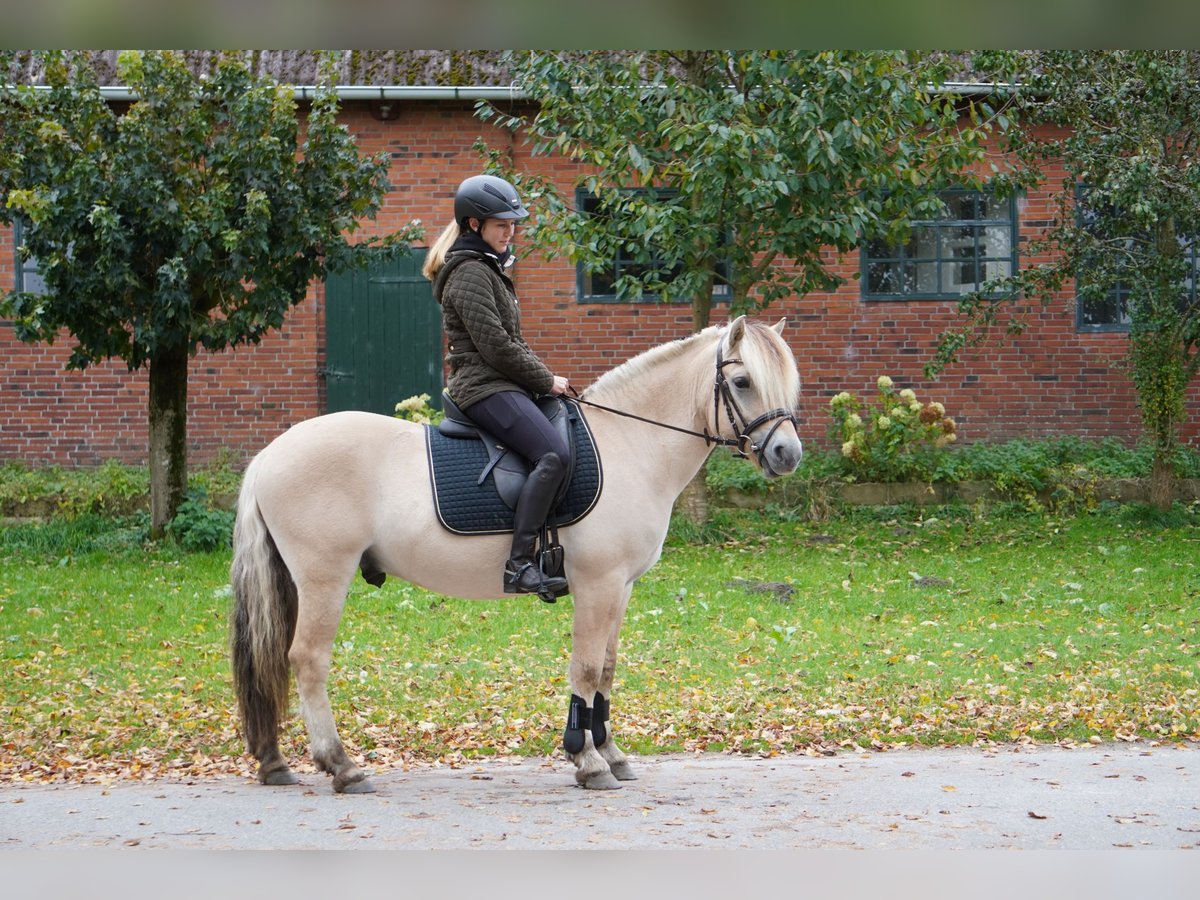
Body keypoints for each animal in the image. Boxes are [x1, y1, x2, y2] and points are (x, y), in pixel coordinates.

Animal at [229, 314, 801, 792]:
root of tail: (270, 454)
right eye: (744, 382)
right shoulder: (598, 584)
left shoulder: (622, 587)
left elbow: (607, 668)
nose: (787, 454)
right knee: (307, 659)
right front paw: (586, 761)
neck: (629, 443)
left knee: (274, 660)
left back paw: (275, 763)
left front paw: (611, 754)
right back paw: (342, 767)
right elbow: (585, 669)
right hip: (324, 578)